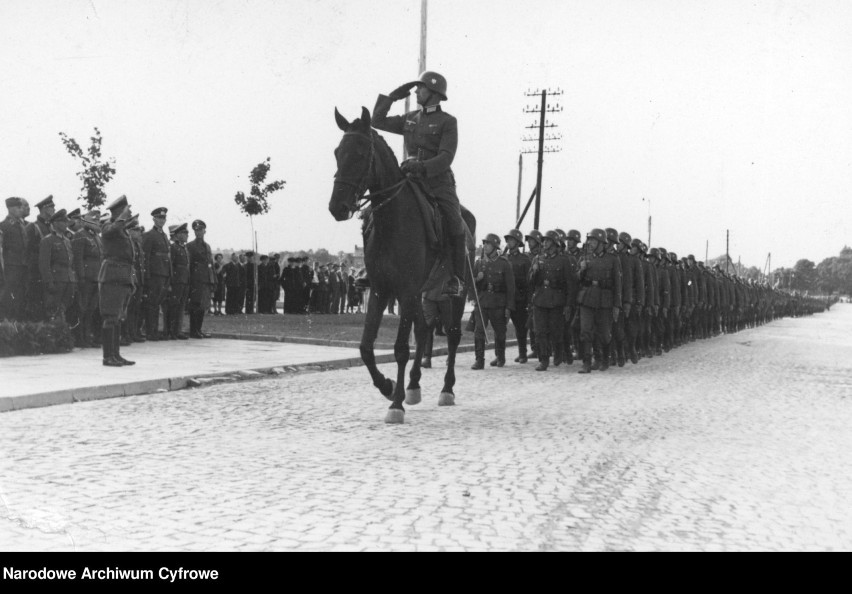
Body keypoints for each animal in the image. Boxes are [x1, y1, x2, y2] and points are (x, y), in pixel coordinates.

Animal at [328, 105, 472, 420]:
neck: (392, 221)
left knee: (453, 335)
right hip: (420, 293)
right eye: (337, 152)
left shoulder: (404, 291)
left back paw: (447, 389)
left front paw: (395, 404)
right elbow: (366, 347)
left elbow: (400, 349)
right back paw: (414, 386)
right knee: (424, 330)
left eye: (361, 153)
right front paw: (388, 386)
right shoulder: (382, 290)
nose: (337, 208)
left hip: (454, 294)